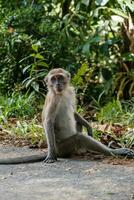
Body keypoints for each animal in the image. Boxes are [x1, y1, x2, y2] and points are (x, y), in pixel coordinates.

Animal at [0, 67, 133, 164]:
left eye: (60, 77)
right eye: (53, 79)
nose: (58, 84)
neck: (62, 93)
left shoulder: (71, 91)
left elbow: (73, 111)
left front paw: (89, 126)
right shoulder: (53, 99)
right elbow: (48, 121)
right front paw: (51, 155)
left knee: (78, 125)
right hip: (63, 148)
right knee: (79, 138)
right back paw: (114, 152)